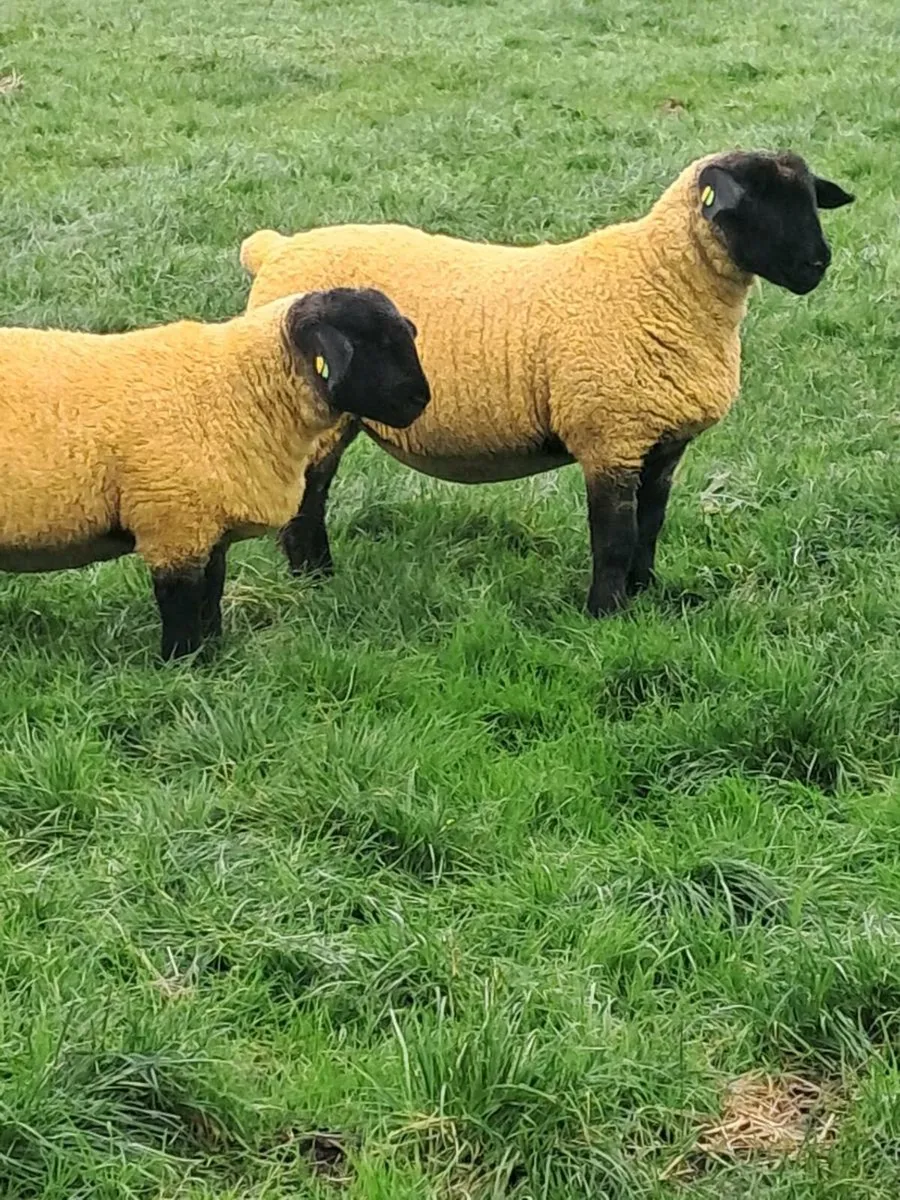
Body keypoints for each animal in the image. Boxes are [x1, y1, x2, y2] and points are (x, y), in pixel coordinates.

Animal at [0, 287, 430, 659]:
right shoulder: (174, 526)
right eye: (374, 344)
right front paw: (182, 664)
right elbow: (183, 607)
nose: (421, 400)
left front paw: (213, 657)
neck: (239, 386)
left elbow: (211, 597)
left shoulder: (209, 529)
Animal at [240, 150, 853, 617]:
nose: (818, 264)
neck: (660, 281)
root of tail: (277, 248)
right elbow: (614, 537)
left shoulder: (661, 443)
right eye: (753, 202)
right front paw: (607, 613)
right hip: (319, 415)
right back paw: (317, 580)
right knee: (308, 502)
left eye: (809, 198)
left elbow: (650, 526)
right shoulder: (610, 436)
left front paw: (646, 594)